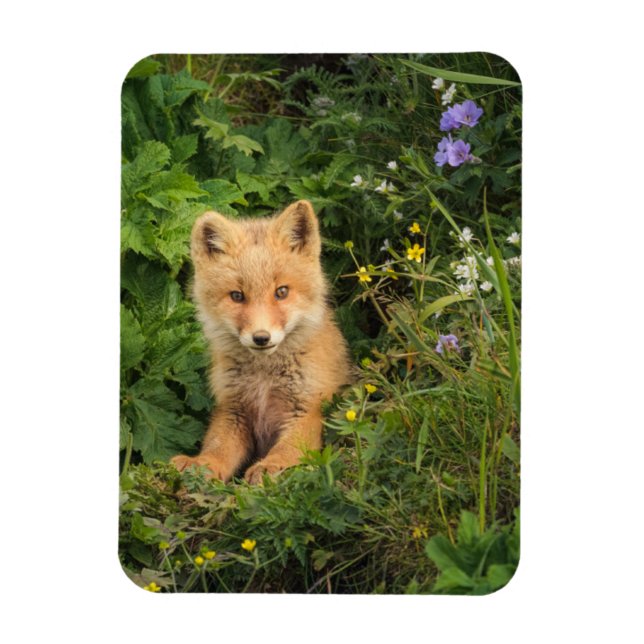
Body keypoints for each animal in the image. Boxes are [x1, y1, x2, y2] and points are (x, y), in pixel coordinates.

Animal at [170, 200, 351, 484]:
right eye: (237, 296)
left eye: (281, 292)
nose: (261, 337)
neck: (264, 379)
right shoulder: (233, 410)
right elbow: (218, 447)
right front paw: (201, 464)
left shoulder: (307, 409)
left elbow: (288, 449)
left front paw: (271, 466)